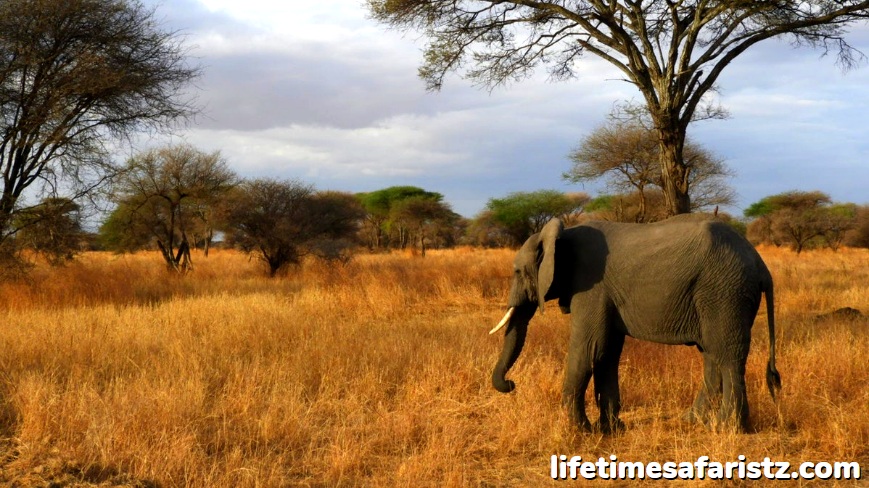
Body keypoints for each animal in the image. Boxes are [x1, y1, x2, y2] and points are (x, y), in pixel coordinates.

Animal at [492, 215, 784, 432]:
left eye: (518, 271)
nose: (511, 384)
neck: (562, 234)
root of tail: (761, 265)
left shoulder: (592, 286)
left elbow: (588, 349)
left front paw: (580, 431)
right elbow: (607, 352)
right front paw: (610, 429)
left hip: (725, 291)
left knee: (727, 354)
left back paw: (728, 428)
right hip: (722, 294)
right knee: (713, 355)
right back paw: (693, 421)